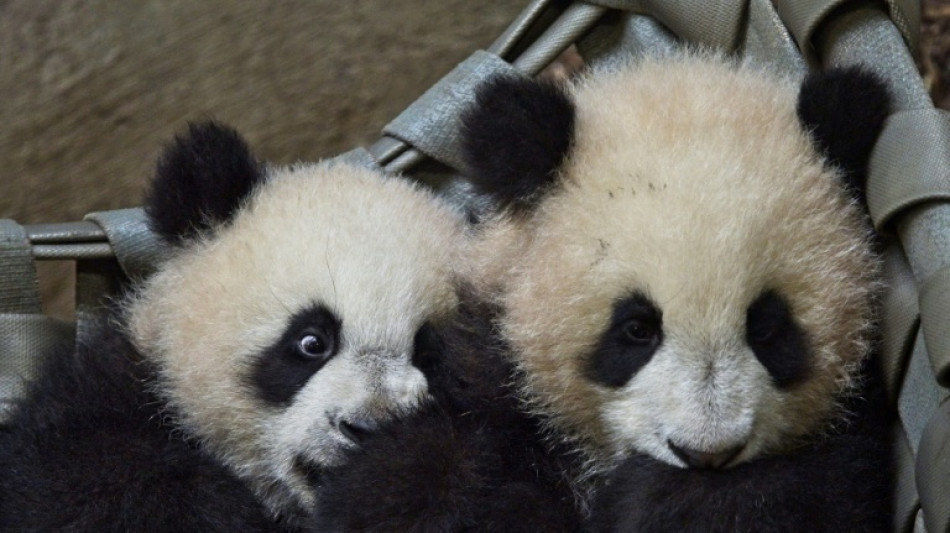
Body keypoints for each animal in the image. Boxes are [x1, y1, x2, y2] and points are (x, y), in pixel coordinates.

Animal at [460, 51, 894, 531]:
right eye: (636, 329)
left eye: (766, 329)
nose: (707, 454)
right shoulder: (491, 378)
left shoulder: (858, 423)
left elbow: (821, 493)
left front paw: (658, 496)